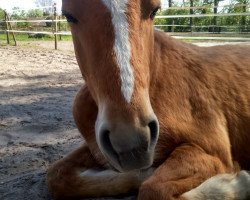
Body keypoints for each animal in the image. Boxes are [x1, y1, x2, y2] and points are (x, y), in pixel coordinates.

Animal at [46, 0, 250, 199]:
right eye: (69, 15)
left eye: (154, 10)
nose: (131, 143)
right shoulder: (97, 149)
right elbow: (58, 176)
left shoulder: (213, 152)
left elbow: (154, 189)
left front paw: (238, 184)